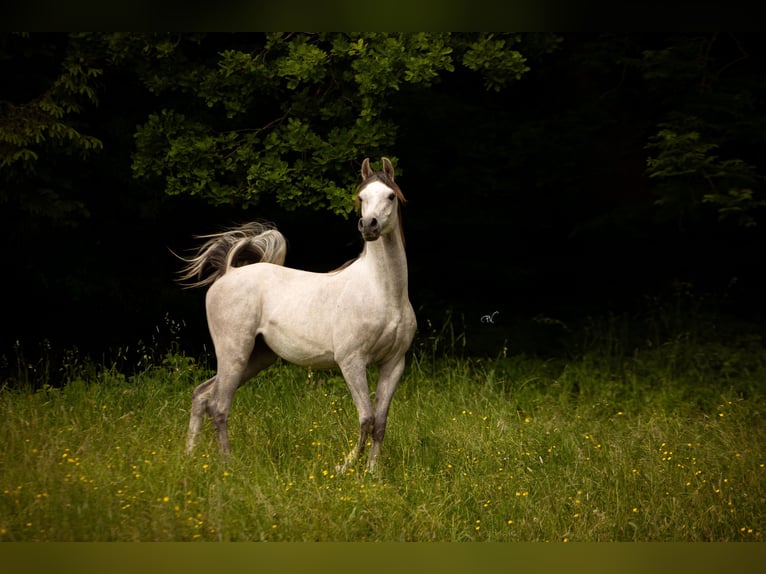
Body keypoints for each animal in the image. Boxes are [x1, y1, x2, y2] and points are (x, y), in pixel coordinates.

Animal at [178, 157, 416, 473]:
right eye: (361, 197)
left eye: (390, 195)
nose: (369, 226)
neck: (382, 292)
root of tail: (229, 271)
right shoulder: (352, 362)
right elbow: (365, 419)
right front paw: (343, 468)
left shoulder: (393, 364)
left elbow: (379, 423)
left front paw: (372, 472)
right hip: (234, 352)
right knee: (218, 405)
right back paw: (229, 465)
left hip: (256, 358)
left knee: (201, 396)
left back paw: (190, 457)